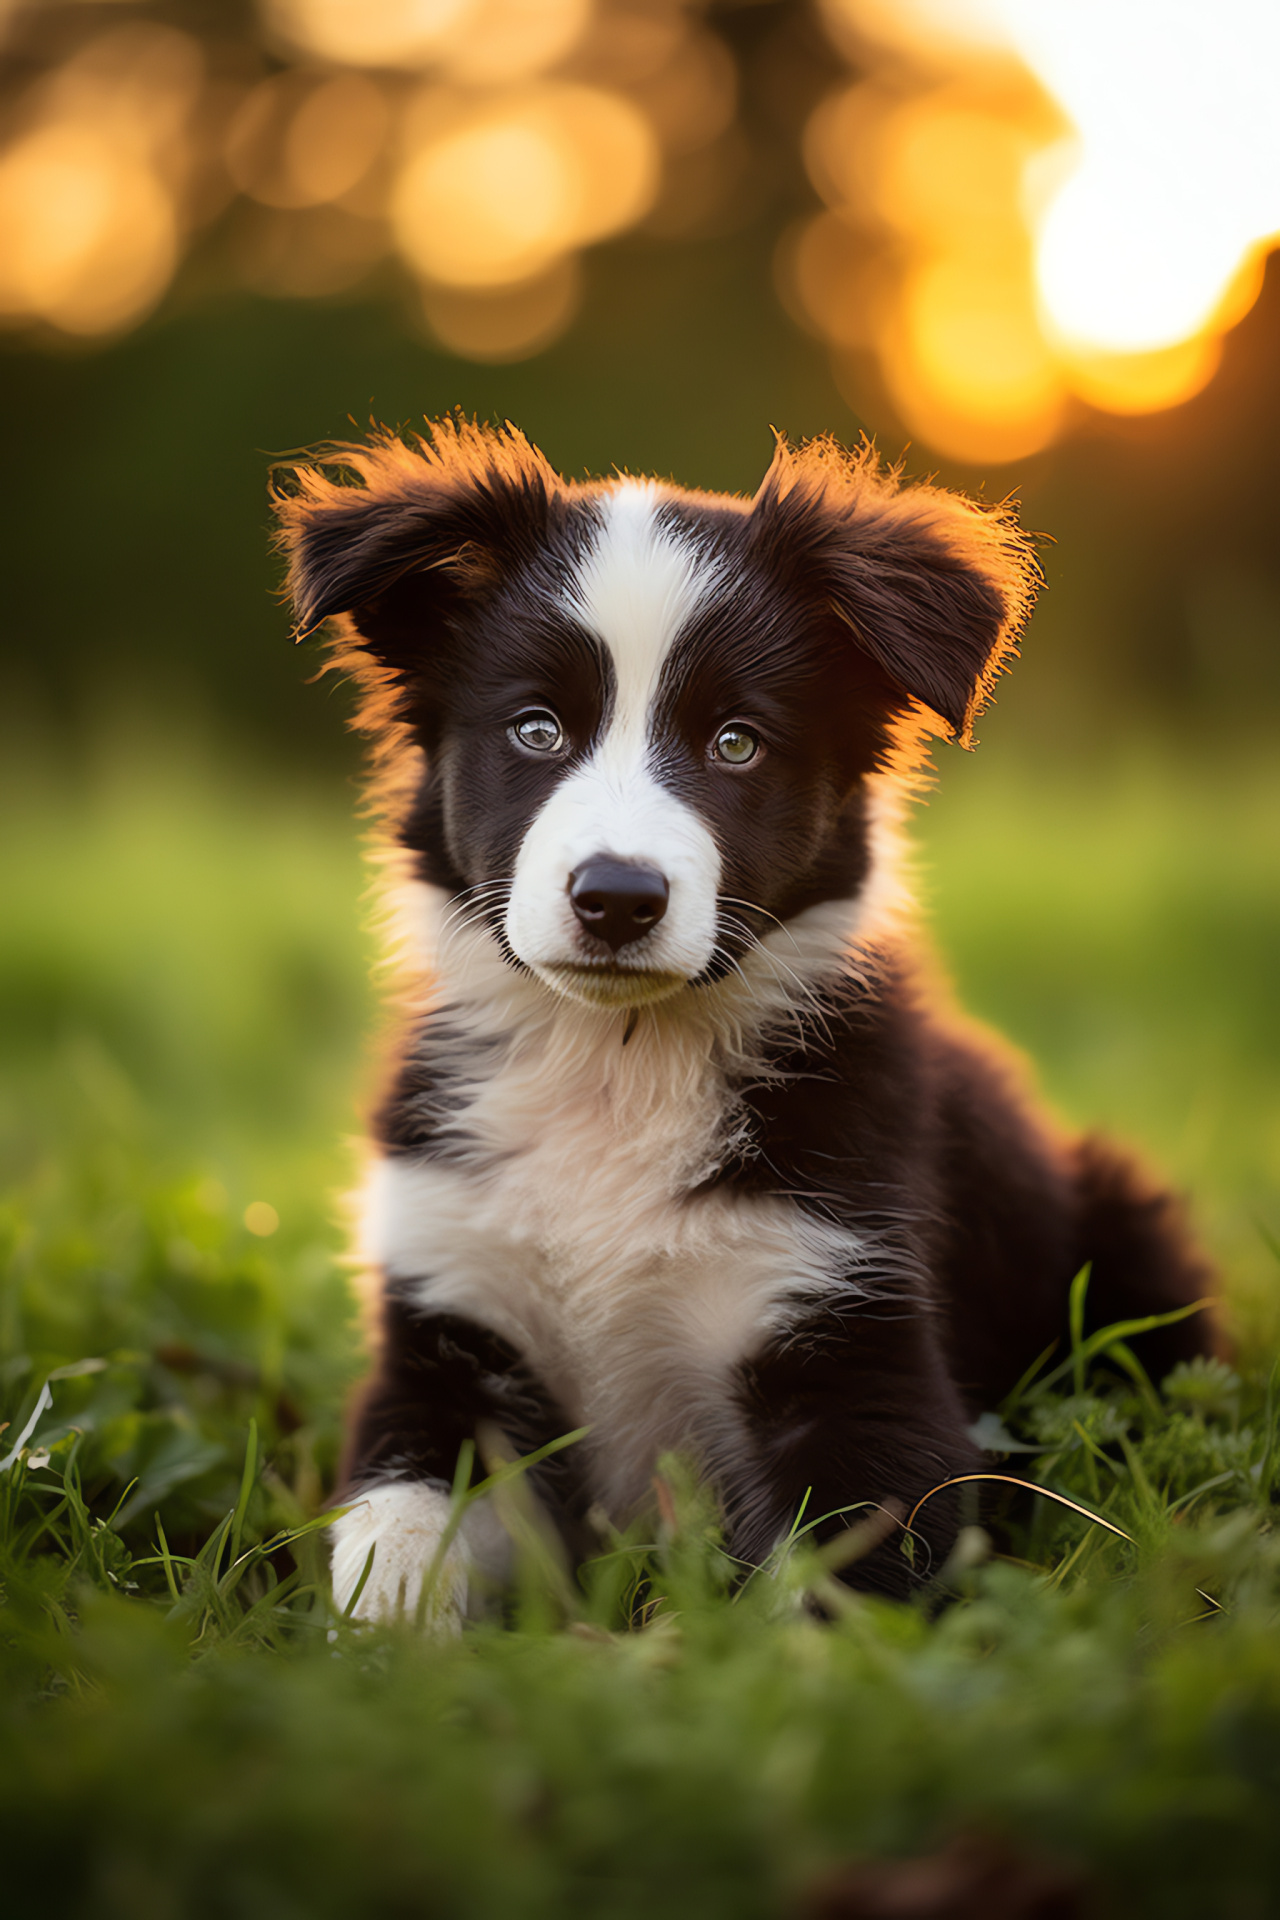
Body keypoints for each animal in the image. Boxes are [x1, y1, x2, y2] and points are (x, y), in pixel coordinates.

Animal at [276, 416, 1220, 1620]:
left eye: (736, 743)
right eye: (535, 730)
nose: (617, 897)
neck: (617, 1061)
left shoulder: (847, 1342)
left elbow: (844, 1595)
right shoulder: (447, 1326)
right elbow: (392, 1538)